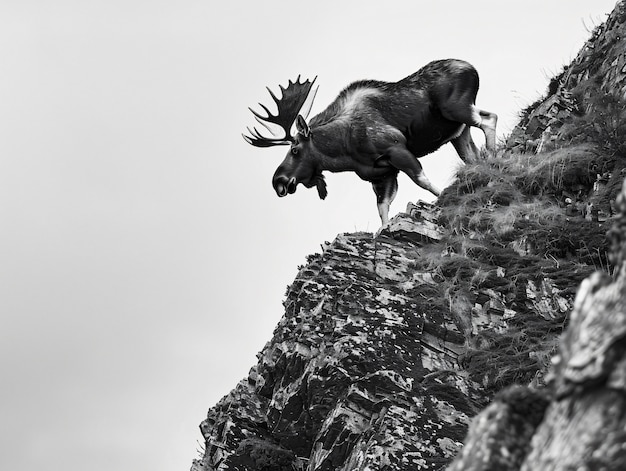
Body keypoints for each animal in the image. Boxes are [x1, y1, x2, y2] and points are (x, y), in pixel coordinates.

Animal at [241, 58, 494, 225]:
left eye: (295, 149)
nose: (278, 182)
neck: (343, 149)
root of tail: (472, 69)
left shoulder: (397, 149)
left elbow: (423, 181)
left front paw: (440, 199)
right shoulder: (383, 175)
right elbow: (382, 211)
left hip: (457, 109)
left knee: (490, 119)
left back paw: (493, 153)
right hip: (458, 131)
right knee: (472, 152)